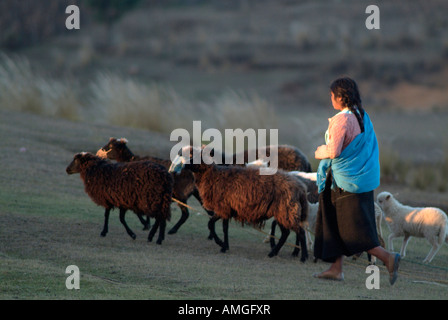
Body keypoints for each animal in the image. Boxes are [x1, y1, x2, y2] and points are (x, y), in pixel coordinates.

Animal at [170, 146, 310, 262]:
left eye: (196, 155)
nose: (182, 166)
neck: (213, 175)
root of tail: (300, 187)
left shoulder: (222, 208)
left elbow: (211, 224)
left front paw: (220, 243)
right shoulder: (226, 209)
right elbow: (224, 227)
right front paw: (225, 246)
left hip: (286, 210)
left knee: (300, 232)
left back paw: (302, 256)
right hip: (282, 211)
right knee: (287, 233)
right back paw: (274, 253)